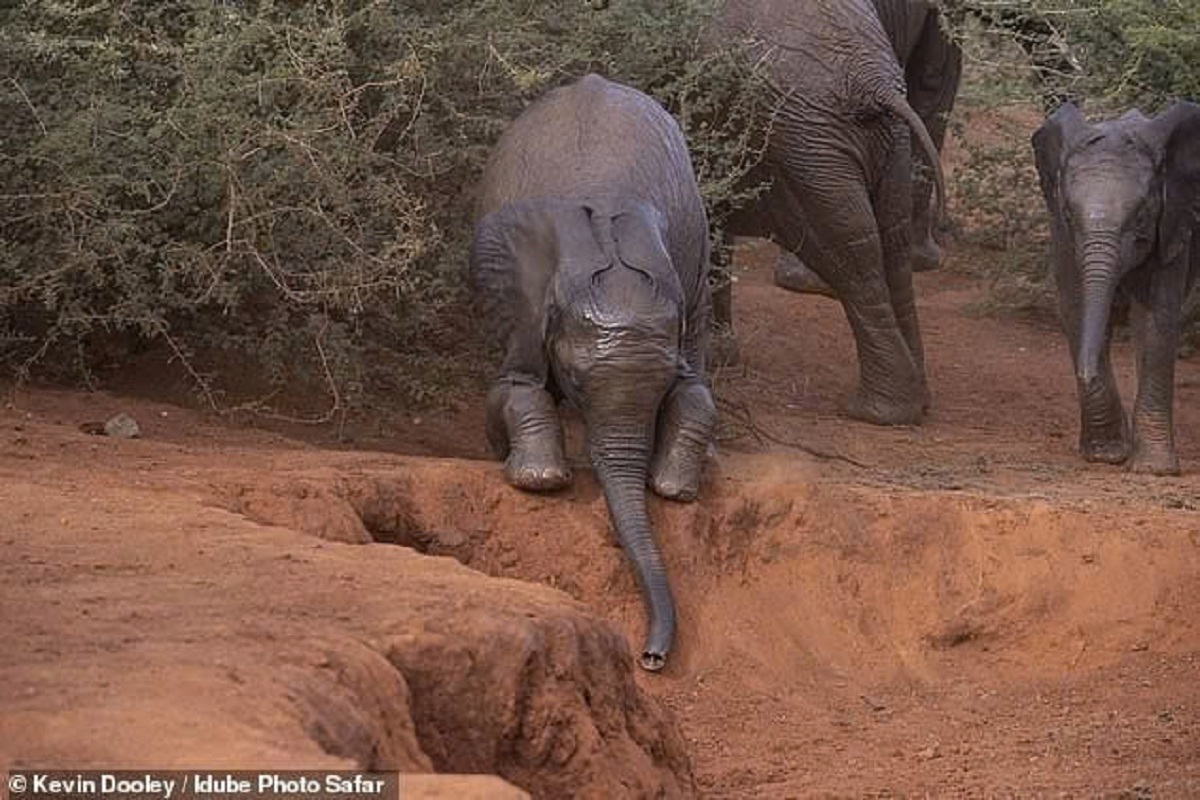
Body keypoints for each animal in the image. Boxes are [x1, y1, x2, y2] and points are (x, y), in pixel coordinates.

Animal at [468, 73, 715, 671]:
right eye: (576, 381)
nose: (650, 658)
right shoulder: (520, 298)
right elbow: (516, 386)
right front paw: (539, 479)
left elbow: (694, 392)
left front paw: (673, 489)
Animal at [710, 0, 945, 424]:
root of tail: (872, 80)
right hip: (881, 141)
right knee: (891, 241)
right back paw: (915, 400)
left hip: (804, 142)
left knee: (846, 249)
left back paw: (875, 412)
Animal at [1032, 100, 1200, 474]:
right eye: (1069, 214)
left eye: (1140, 217)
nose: (1085, 372)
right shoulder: (1061, 234)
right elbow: (1076, 307)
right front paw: (1107, 455)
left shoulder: (1172, 224)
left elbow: (1156, 322)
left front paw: (1154, 469)